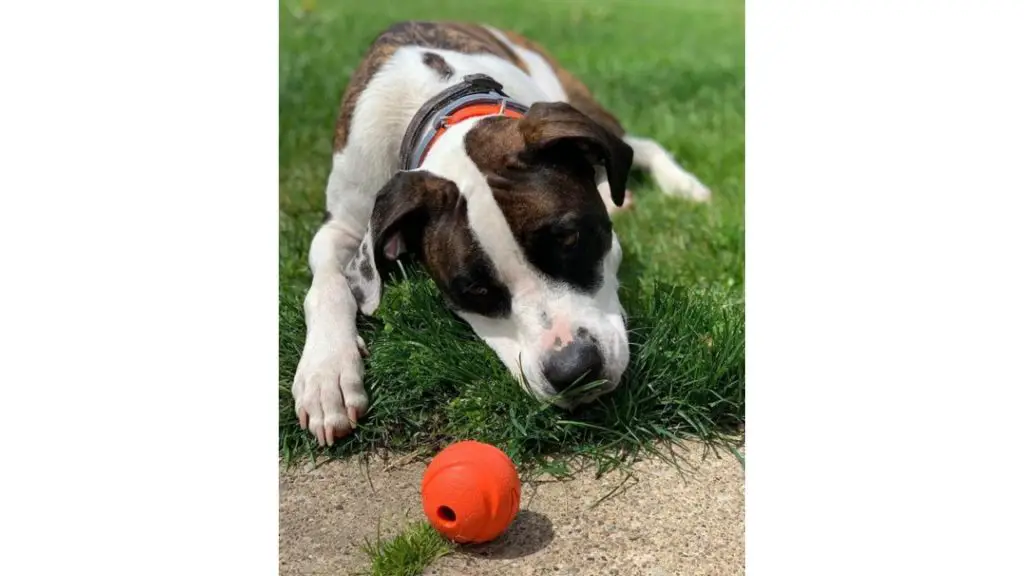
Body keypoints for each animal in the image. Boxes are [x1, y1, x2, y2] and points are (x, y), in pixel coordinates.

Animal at [290, 21, 712, 444]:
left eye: (571, 239)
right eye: (475, 290)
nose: (574, 370)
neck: (435, 104)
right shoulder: (344, 222)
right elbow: (327, 285)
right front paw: (326, 372)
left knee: (639, 145)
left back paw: (680, 187)